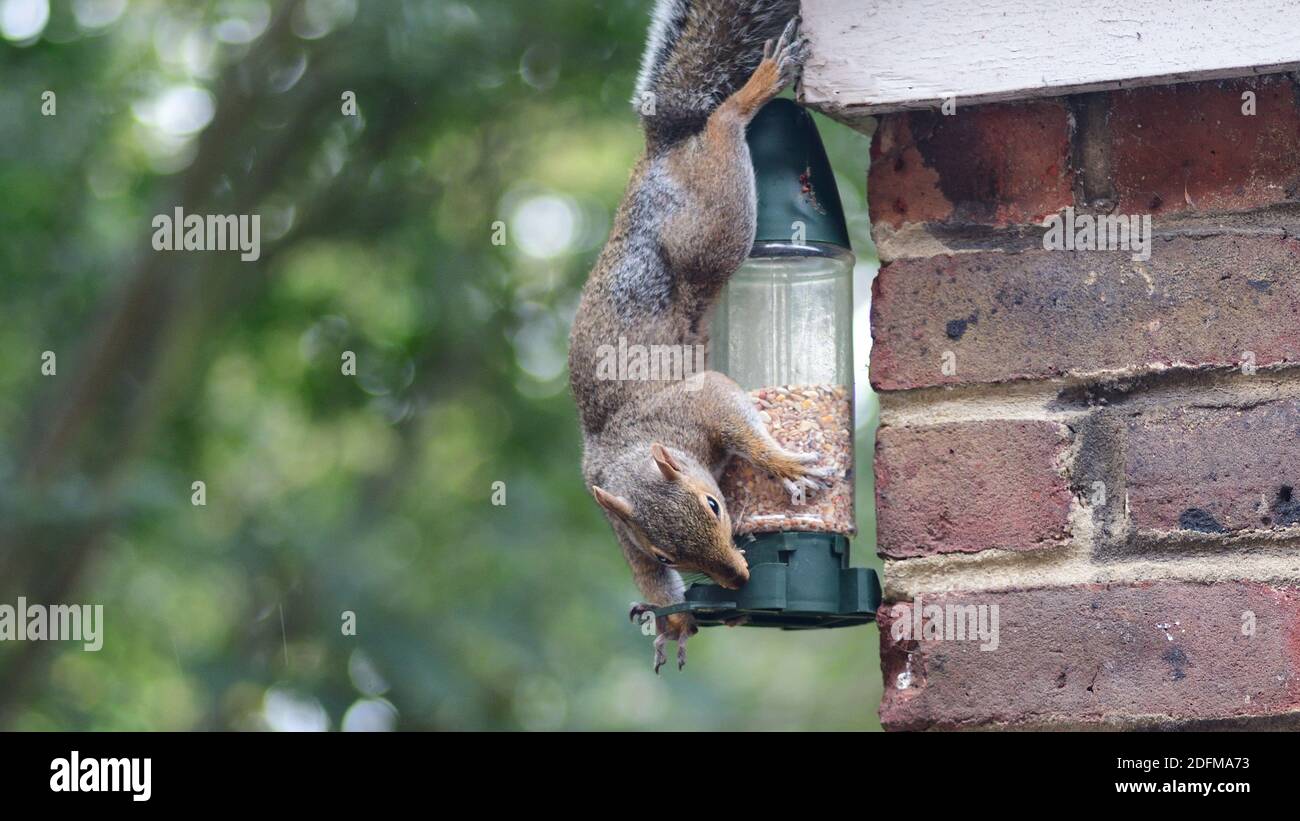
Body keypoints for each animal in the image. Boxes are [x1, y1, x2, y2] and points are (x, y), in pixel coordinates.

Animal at [568, 0, 829, 673]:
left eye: (716, 507)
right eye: (669, 556)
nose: (737, 580)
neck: (643, 445)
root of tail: (657, 151)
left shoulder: (699, 399)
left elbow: (733, 414)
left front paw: (782, 460)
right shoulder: (624, 532)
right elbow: (649, 584)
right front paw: (675, 621)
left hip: (714, 223)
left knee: (722, 129)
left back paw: (751, 93)